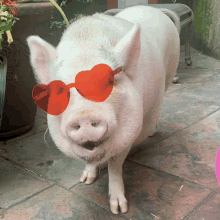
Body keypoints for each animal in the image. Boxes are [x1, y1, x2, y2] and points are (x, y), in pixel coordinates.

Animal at [26, 5, 180, 214]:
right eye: (60, 90)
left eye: (109, 82)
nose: (84, 115)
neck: (86, 40)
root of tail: (155, 9)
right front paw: (85, 181)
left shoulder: (128, 134)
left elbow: (115, 164)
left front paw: (119, 209)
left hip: (170, 72)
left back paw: (153, 132)